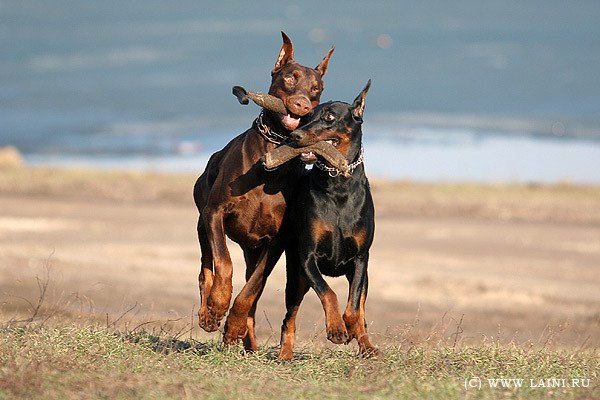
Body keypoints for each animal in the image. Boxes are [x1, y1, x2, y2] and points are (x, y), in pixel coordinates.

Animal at [193, 31, 336, 350]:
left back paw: (247, 341)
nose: (301, 105)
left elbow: (252, 289)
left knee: (252, 292)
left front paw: (233, 326)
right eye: (290, 78)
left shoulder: (276, 241)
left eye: (317, 89)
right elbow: (223, 263)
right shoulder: (215, 213)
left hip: (259, 251)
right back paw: (208, 313)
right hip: (202, 222)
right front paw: (218, 305)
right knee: (206, 268)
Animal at [276, 80, 380, 360]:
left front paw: (350, 329)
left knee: (361, 305)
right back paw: (285, 354)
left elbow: (354, 308)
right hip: (296, 278)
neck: (338, 185)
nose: (295, 136)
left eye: (330, 117)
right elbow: (328, 292)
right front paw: (336, 329)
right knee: (289, 317)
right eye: (306, 117)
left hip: (364, 277)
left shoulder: (360, 259)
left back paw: (366, 345)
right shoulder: (308, 257)